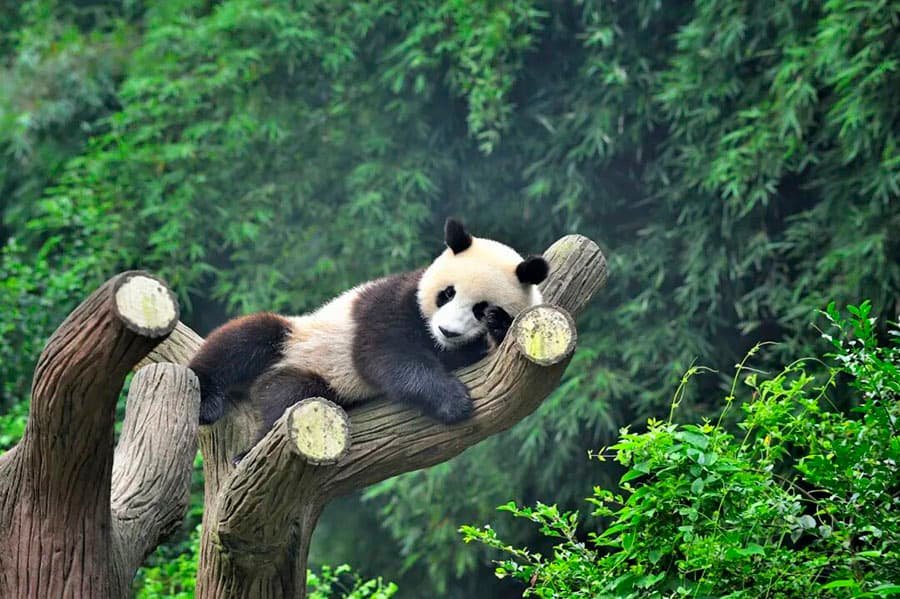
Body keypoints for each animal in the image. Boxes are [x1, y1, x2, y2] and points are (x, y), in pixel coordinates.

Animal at [189, 218, 549, 449]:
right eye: (447, 293)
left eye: (479, 308)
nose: (447, 330)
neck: (436, 341)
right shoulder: (391, 302)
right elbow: (385, 355)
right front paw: (453, 401)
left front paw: (497, 325)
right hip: (298, 339)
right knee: (245, 341)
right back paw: (215, 409)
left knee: (290, 392)